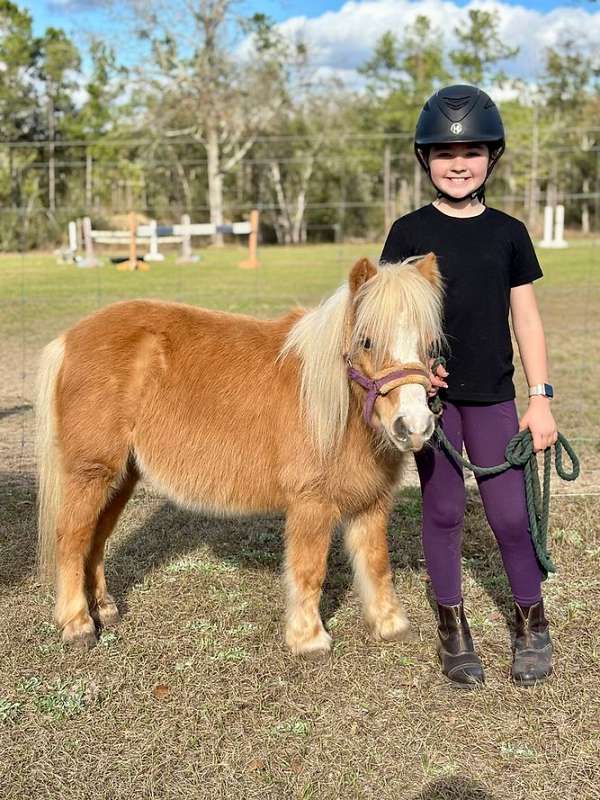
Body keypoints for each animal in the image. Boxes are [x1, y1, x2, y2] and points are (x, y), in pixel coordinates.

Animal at [36, 253, 443, 657]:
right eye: (367, 341)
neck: (331, 403)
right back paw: (78, 625)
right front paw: (309, 638)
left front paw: (390, 624)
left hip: (122, 476)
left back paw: (104, 609)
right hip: (91, 472)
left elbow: (376, 563)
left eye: (429, 344)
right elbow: (310, 570)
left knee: (96, 538)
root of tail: (70, 339)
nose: (414, 426)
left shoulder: (373, 501)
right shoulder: (311, 503)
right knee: (72, 538)